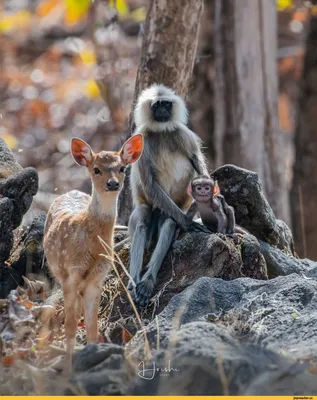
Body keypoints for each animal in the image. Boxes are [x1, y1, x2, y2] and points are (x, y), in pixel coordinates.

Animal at [127, 83, 209, 304]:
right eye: (157, 105)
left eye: (166, 104)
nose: (162, 111)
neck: (160, 132)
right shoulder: (141, 138)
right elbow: (148, 183)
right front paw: (189, 222)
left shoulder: (182, 133)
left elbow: (196, 162)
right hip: (153, 205)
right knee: (142, 219)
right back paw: (134, 282)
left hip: (173, 206)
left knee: (169, 222)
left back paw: (147, 281)